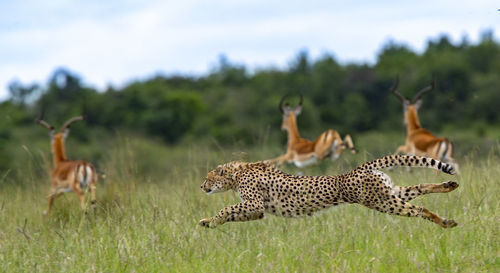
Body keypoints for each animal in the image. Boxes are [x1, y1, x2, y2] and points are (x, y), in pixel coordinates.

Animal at [198, 155, 458, 227]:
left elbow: (227, 209)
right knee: (420, 188)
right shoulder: (257, 211)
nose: (202, 186)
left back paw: (445, 222)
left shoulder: (255, 204)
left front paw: (211, 219)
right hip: (388, 193)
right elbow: (232, 215)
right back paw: (449, 186)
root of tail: (356, 169)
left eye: (207, 177)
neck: (236, 173)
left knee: (419, 209)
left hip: (383, 202)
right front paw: (209, 222)